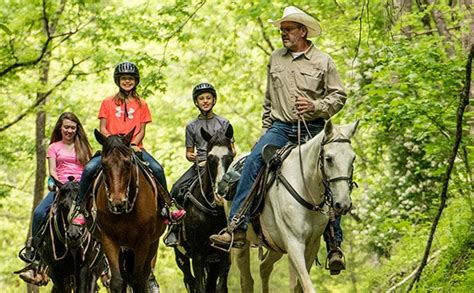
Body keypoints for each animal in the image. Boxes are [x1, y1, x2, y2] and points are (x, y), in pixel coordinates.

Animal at [86, 129, 168, 290]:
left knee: (143, 276)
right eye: (103, 164)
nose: (117, 202)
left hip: (152, 244)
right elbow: (118, 281)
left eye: (128, 163)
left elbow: (138, 281)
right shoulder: (108, 239)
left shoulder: (143, 241)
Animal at [174, 125, 233, 292]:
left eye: (230, 156)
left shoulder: (223, 254)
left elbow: (220, 287)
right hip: (181, 256)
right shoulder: (197, 254)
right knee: (189, 280)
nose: (221, 193)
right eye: (210, 157)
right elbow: (199, 287)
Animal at [224, 120, 358, 290]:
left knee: (264, 267)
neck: (306, 189)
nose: (343, 204)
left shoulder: (312, 245)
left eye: (352, 159)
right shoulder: (294, 243)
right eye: (329, 158)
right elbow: (307, 285)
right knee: (247, 280)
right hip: (243, 245)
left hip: (275, 245)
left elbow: (300, 286)